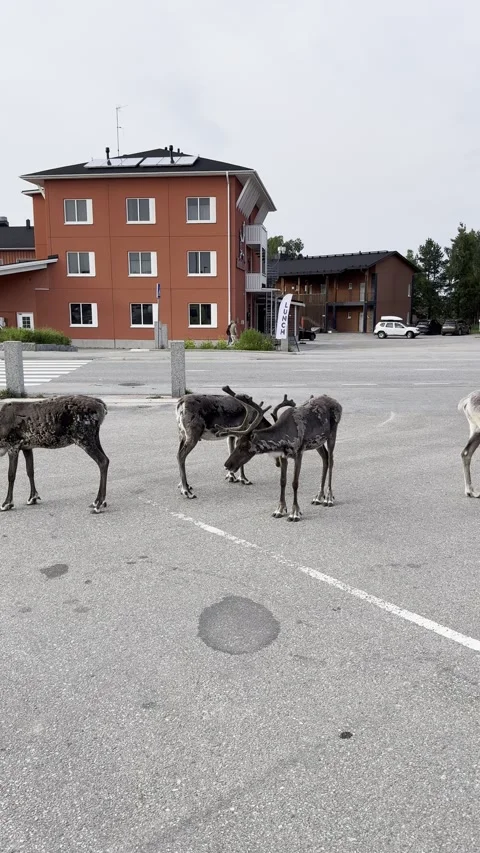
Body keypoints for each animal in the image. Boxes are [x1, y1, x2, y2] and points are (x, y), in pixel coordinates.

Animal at [217, 386, 342, 521]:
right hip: (318, 442)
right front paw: (280, 510)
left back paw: (329, 498)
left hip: (332, 433)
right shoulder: (283, 456)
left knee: (331, 461)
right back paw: (319, 496)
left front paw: (295, 512)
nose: (227, 464)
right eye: (237, 442)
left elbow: (295, 483)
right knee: (325, 459)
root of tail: (338, 403)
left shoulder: (299, 453)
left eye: (244, 446)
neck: (284, 436)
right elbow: (282, 481)